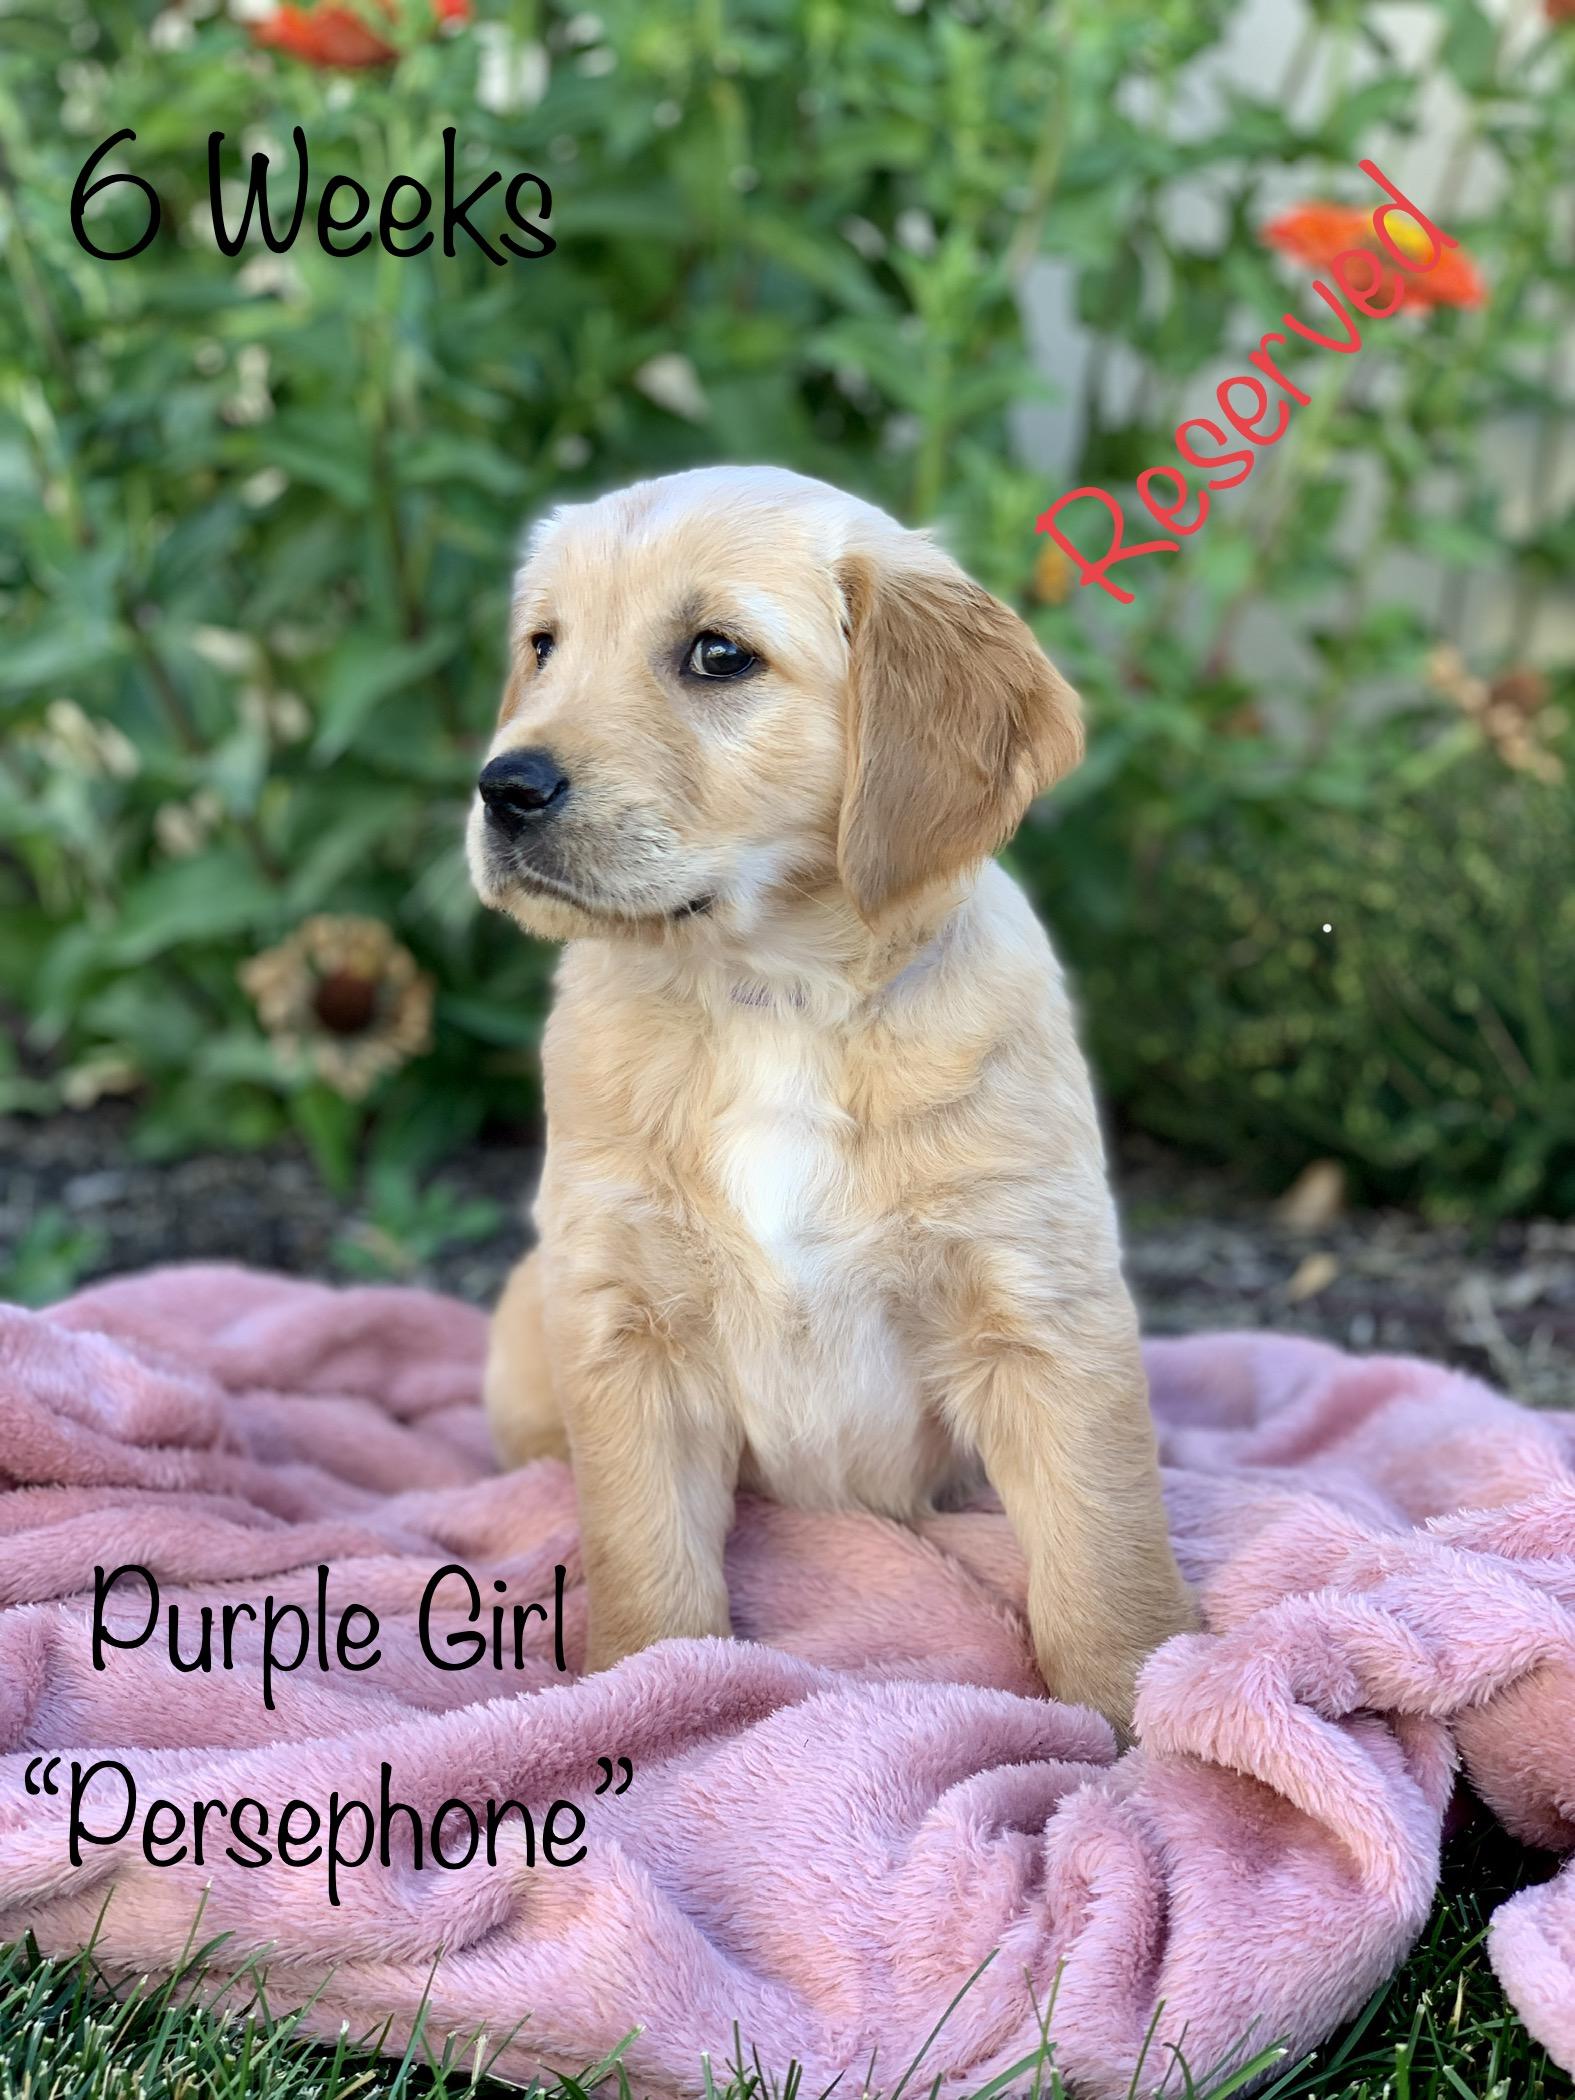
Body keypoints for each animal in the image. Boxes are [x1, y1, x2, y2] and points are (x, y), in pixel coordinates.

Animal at [467, 464, 1194, 1731]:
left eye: (718, 655)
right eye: (544, 646)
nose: (502, 786)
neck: (775, 1001)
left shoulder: (1040, 1313)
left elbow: (1104, 1548)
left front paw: (1139, 1724)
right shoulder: (623, 1322)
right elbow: (645, 1558)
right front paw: (644, 1695)